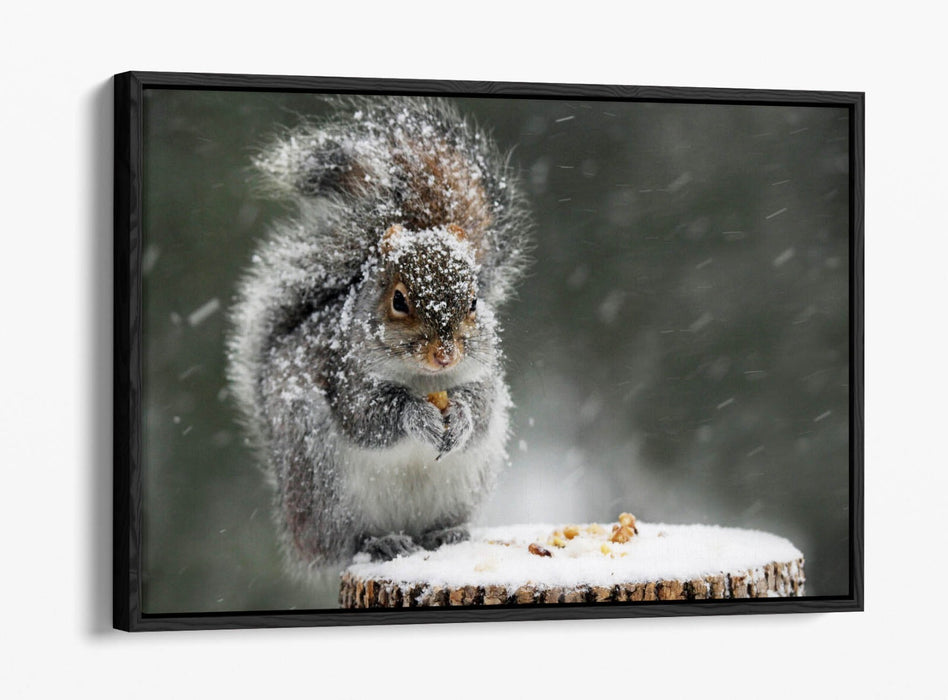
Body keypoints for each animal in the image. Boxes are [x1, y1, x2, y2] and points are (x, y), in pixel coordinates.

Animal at [227, 97, 531, 575]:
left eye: (474, 301)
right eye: (399, 300)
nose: (444, 354)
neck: (425, 380)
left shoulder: (482, 377)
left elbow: (480, 410)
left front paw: (461, 416)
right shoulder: (344, 376)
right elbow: (370, 416)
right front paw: (417, 416)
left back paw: (447, 533)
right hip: (321, 485)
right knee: (342, 544)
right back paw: (380, 543)